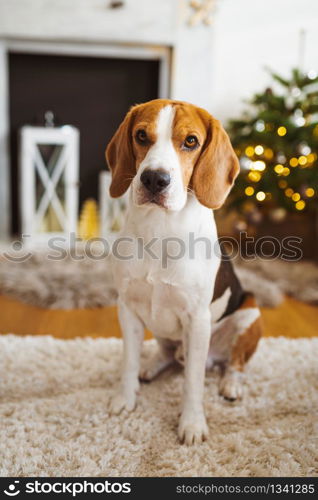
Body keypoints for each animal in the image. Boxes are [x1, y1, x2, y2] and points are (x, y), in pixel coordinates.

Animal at [105, 98, 262, 446]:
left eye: (191, 141)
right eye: (141, 135)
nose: (154, 179)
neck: (160, 229)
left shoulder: (197, 319)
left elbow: (192, 380)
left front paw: (191, 423)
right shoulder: (127, 308)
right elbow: (127, 361)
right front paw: (125, 398)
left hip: (250, 312)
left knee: (235, 363)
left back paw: (231, 384)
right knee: (166, 354)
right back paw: (152, 367)